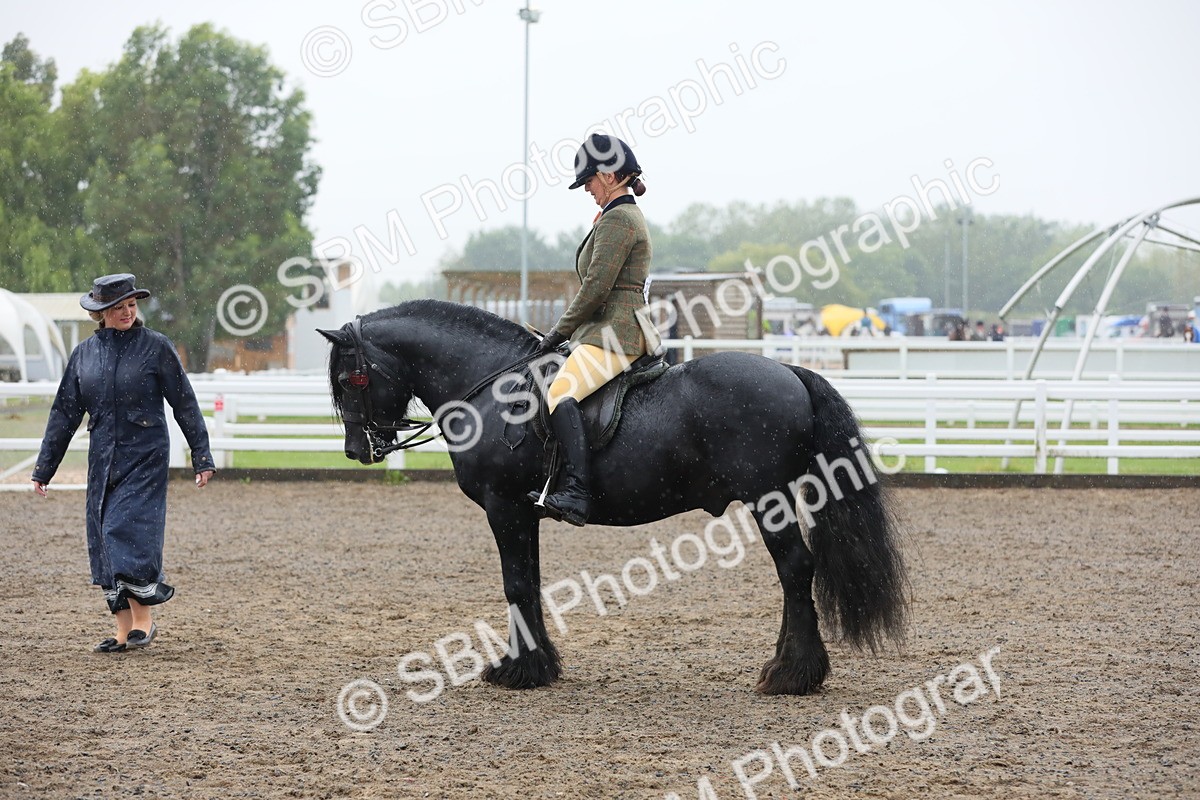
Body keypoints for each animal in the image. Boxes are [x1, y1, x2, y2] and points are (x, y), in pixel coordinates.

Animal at [319, 300, 907, 695]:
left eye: (352, 380)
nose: (358, 449)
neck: (491, 389)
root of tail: (790, 371)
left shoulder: (503, 507)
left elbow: (515, 584)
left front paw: (517, 670)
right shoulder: (523, 512)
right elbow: (530, 582)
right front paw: (537, 666)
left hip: (770, 500)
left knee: (795, 569)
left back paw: (790, 674)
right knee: (794, 572)